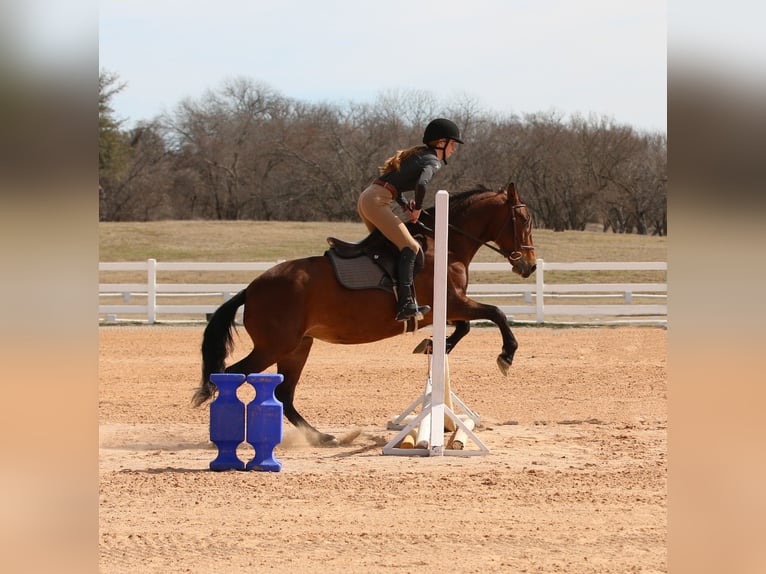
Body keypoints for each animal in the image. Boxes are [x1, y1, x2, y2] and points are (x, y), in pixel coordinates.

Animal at [194, 183, 540, 446]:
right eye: (523, 219)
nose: (530, 266)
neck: (448, 245)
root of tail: (251, 289)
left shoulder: (450, 308)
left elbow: (465, 328)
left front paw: (431, 346)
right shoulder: (455, 302)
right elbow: (496, 313)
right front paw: (506, 356)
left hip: (297, 346)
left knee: (284, 393)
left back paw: (322, 437)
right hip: (274, 347)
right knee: (231, 374)